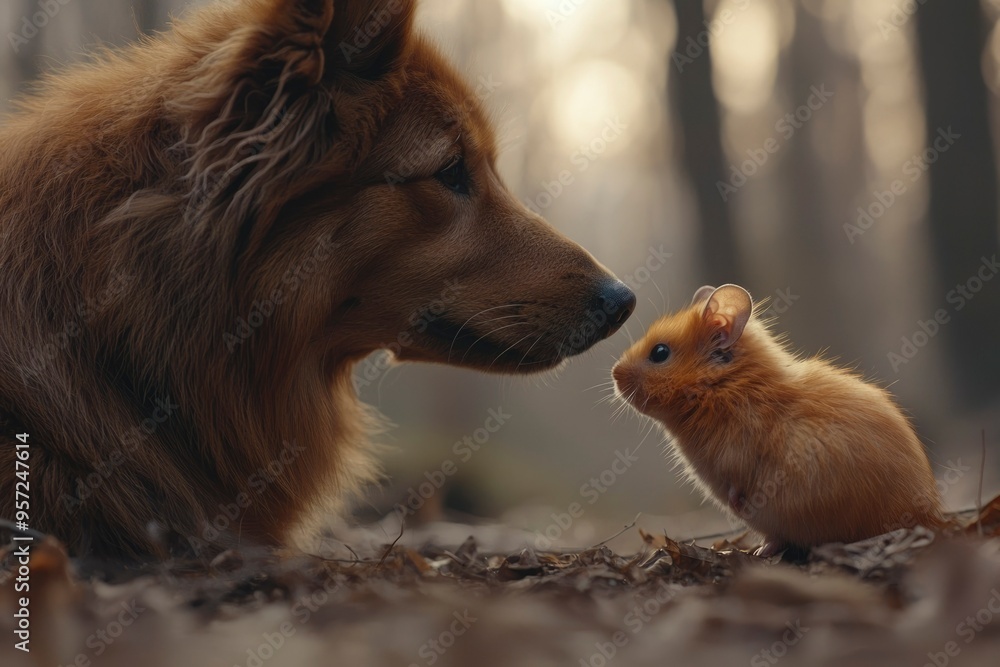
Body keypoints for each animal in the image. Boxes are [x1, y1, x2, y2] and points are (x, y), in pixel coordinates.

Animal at [612, 284, 944, 556]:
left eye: (660, 352)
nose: (614, 373)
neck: (723, 388)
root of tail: (930, 517)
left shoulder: (740, 451)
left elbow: (739, 479)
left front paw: (738, 502)